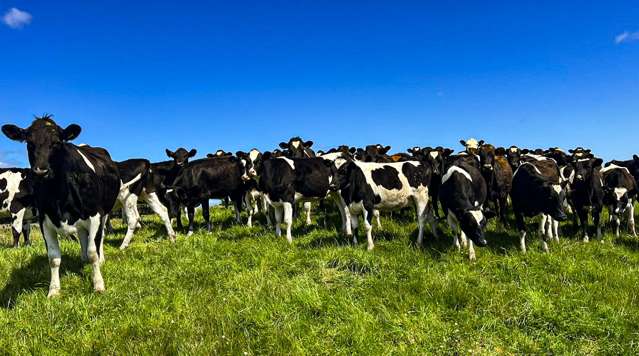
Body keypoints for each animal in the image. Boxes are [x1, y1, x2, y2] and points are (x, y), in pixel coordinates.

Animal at [1, 115, 122, 296]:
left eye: (57, 142)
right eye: (29, 142)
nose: (40, 171)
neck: (59, 195)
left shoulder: (95, 215)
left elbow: (93, 251)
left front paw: (98, 284)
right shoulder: (44, 220)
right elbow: (53, 258)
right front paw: (54, 290)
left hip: (105, 212)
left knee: (100, 238)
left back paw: (100, 260)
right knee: (82, 236)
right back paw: (82, 258)